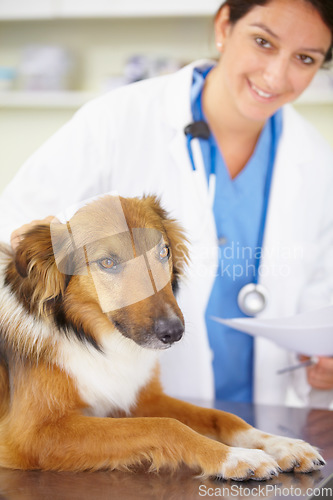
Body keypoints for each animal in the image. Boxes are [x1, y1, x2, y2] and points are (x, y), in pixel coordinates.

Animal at [0, 193, 324, 478]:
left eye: (163, 252)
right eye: (107, 263)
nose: (174, 332)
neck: (93, 338)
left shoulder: (140, 400)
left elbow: (223, 416)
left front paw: (282, 444)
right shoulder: (34, 435)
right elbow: (165, 425)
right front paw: (234, 457)